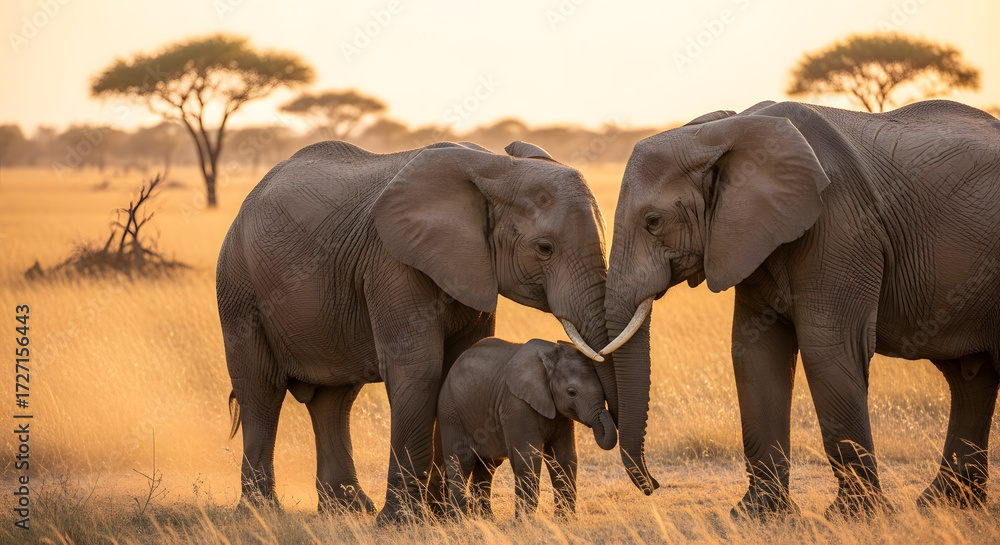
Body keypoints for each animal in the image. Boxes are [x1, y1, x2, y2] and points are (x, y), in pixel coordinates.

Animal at [438, 338, 617, 518]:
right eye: (572, 392)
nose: (605, 413)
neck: (548, 360)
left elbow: (564, 457)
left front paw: (565, 521)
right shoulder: (516, 405)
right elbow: (528, 458)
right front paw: (525, 522)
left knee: (487, 466)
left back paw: (487, 520)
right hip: (450, 411)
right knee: (462, 462)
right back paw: (460, 520)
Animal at [600, 99, 1000, 518]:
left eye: (652, 222)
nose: (654, 485)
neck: (721, 130)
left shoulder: (840, 225)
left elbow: (828, 349)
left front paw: (854, 517)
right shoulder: (751, 238)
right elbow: (755, 353)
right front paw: (758, 516)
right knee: (969, 378)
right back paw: (946, 504)